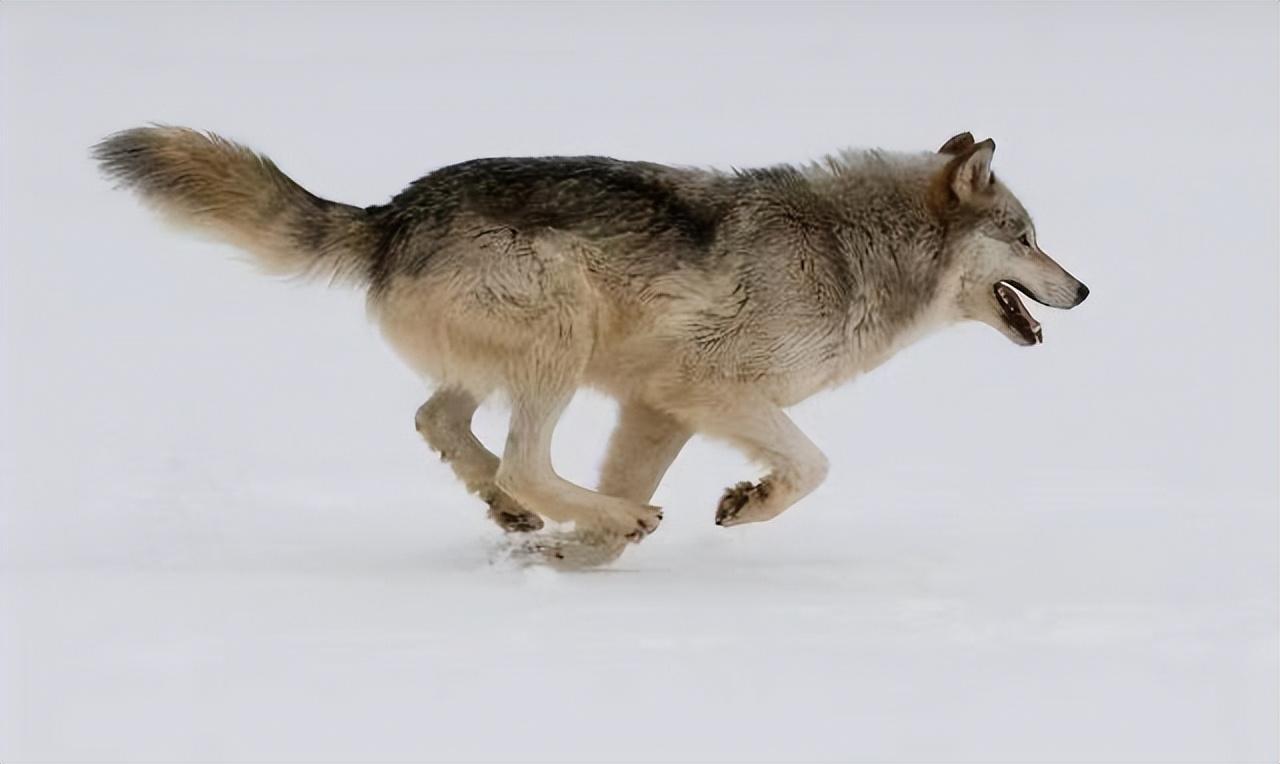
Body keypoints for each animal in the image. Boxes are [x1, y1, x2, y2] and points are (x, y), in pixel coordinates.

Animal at [92, 127, 1090, 563]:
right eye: (1030, 236)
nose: (1082, 290)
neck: (854, 254)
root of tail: (391, 214)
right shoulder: (707, 387)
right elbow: (811, 467)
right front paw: (731, 507)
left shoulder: (657, 406)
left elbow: (634, 483)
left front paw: (577, 561)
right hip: (560, 333)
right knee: (521, 457)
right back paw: (572, 512)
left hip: (513, 360)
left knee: (441, 423)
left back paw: (518, 517)